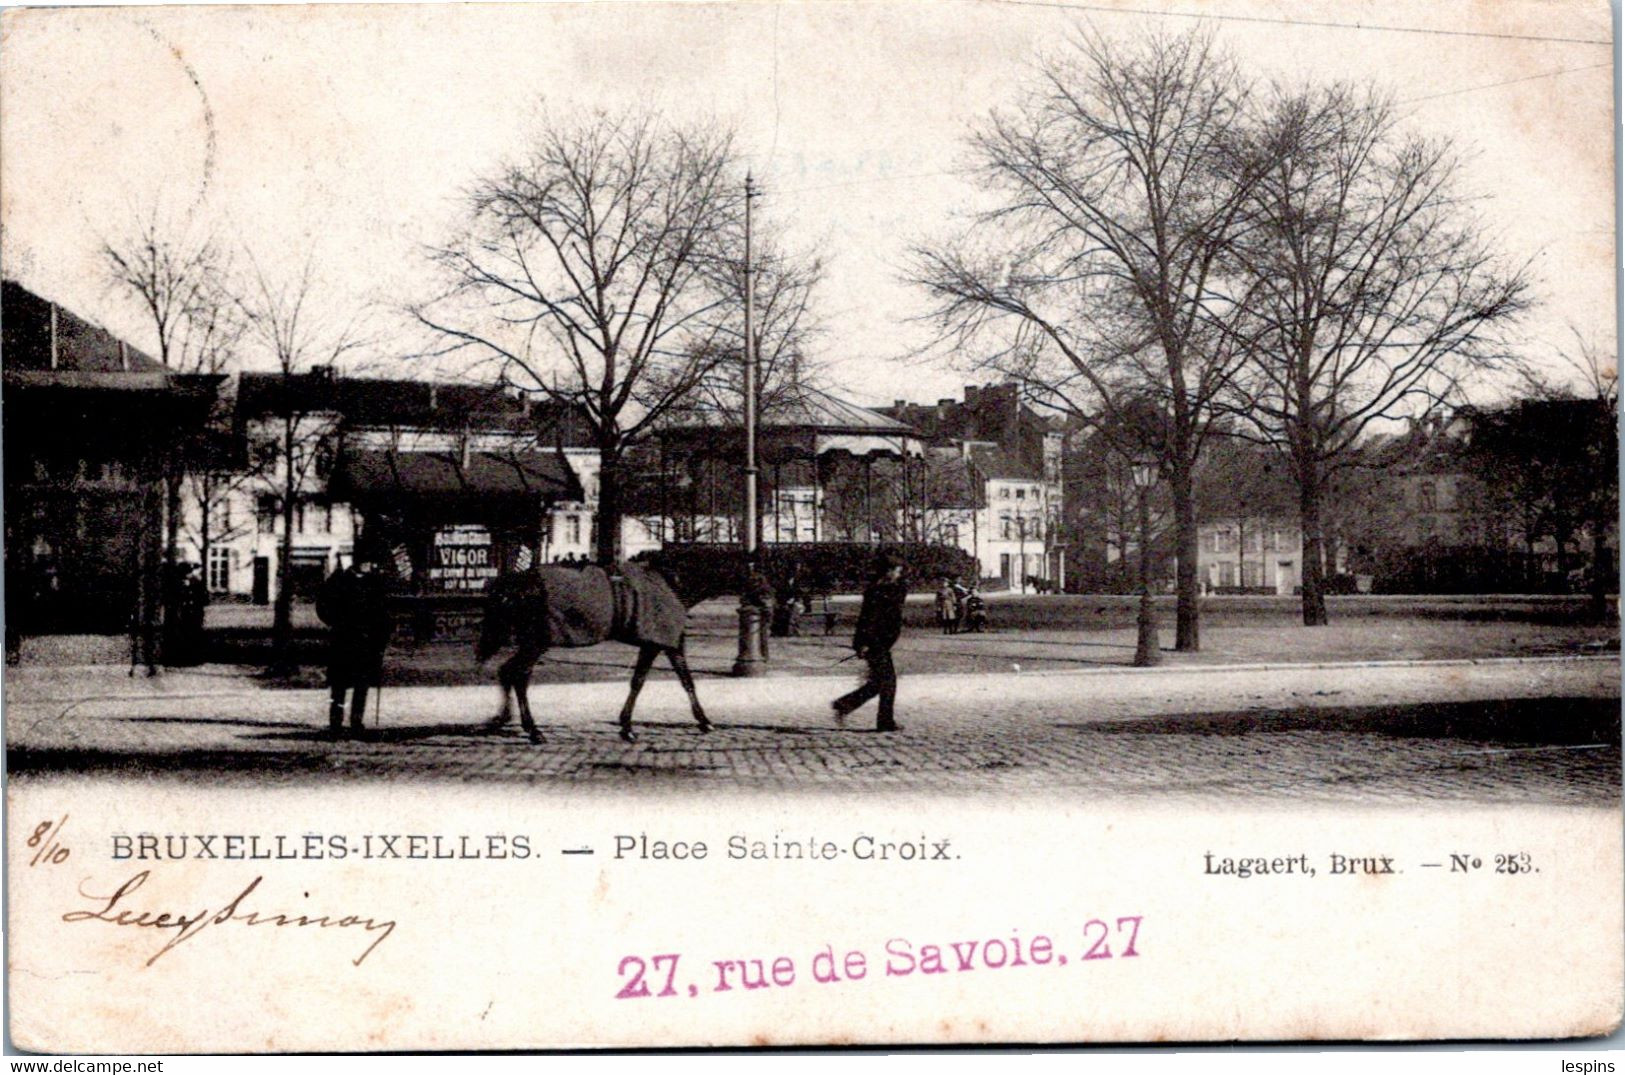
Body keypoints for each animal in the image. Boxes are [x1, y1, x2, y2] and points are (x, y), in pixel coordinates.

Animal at [474, 555, 744, 740]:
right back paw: (532, 729)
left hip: (533, 643)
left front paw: (703, 720)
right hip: (536, 642)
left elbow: (685, 681)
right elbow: (640, 681)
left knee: (509, 672)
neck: (671, 583)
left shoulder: (670, 644)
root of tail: (517, 580)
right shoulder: (654, 644)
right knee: (518, 675)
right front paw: (627, 727)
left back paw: (502, 719)